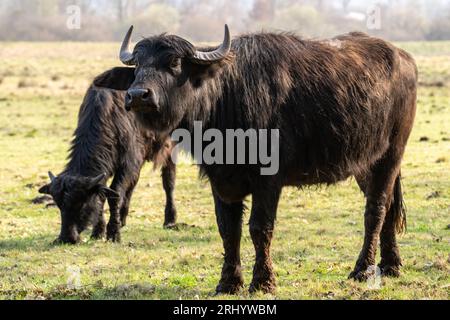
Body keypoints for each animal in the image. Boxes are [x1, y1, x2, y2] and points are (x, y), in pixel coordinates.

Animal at [39, 70, 178, 244]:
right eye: (59, 205)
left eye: (81, 204)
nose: (67, 238)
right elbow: (103, 194)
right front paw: (98, 231)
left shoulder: (128, 163)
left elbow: (114, 193)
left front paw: (113, 233)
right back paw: (123, 218)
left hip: (170, 147)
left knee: (168, 181)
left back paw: (170, 220)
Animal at [95, 26, 418, 294]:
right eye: (137, 65)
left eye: (173, 62)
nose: (138, 95)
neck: (226, 99)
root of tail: (404, 58)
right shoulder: (221, 180)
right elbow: (228, 229)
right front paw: (228, 282)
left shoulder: (268, 180)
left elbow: (259, 228)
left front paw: (263, 281)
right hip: (364, 164)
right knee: (389, 206)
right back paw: (390, 265)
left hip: (390, 155)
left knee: (376, 209)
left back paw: (363, 269)